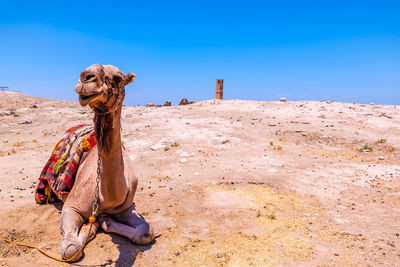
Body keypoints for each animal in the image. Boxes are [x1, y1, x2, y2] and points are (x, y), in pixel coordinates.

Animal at [58, 65, 154, 262]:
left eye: (118, 78)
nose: (85, 78)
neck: (104, 199)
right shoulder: (71, 206)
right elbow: (71, 249)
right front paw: (89, 228)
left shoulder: (126, 208)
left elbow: (147, 232)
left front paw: (104, 221)